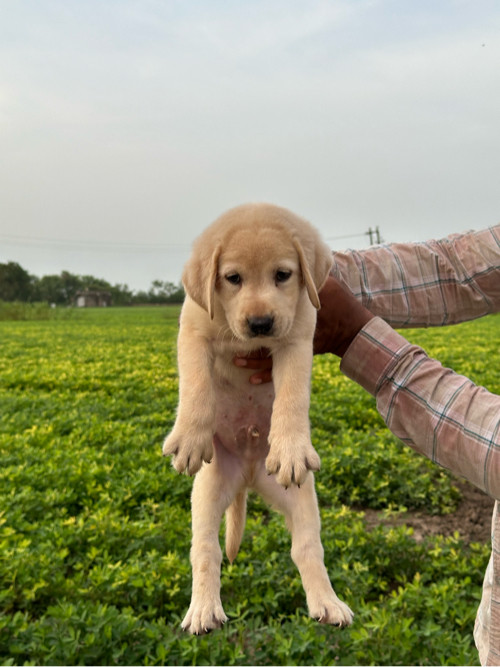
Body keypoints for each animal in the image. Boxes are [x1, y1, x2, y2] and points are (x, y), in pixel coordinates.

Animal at [162, 204, 354, 636]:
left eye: (283, 274)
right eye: (232, 278)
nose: (261, 324)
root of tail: (249, 474)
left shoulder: (298, 337)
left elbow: (292, 397)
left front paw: (291, 448)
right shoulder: (193, 329)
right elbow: (196, 385)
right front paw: (190, 436)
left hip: (301, 497)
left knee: (306, 548)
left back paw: (328, 603)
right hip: (208, 491)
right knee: (206, 549)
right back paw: (204, 610)